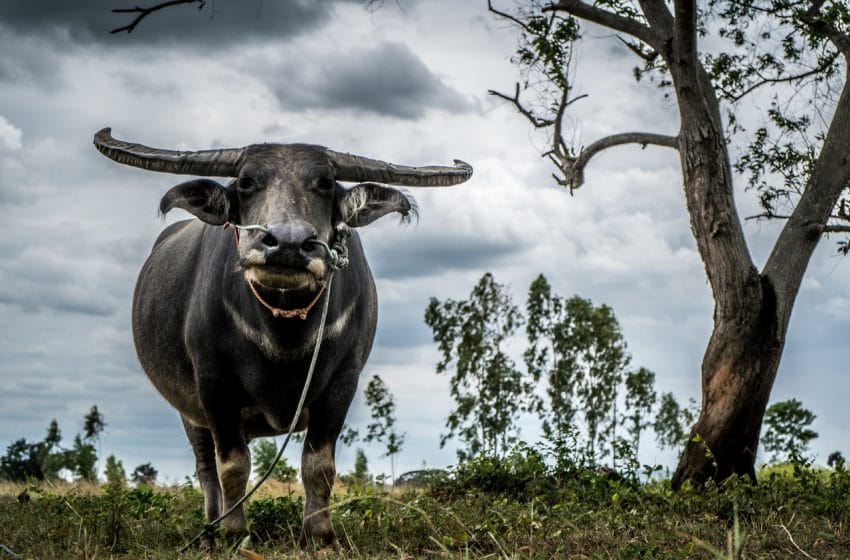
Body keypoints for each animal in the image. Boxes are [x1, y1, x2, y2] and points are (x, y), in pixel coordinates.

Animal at [96, 128, 474, 548]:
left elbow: (318, 464)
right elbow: (232, 465)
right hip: (189, 411)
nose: (288, 243)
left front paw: (319, 534)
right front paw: (234, 533)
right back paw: (210, 532)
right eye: (246, 183)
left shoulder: (344, 380)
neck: (284, 330)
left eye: (324, 183)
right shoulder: (212, 382)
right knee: (206, 468)